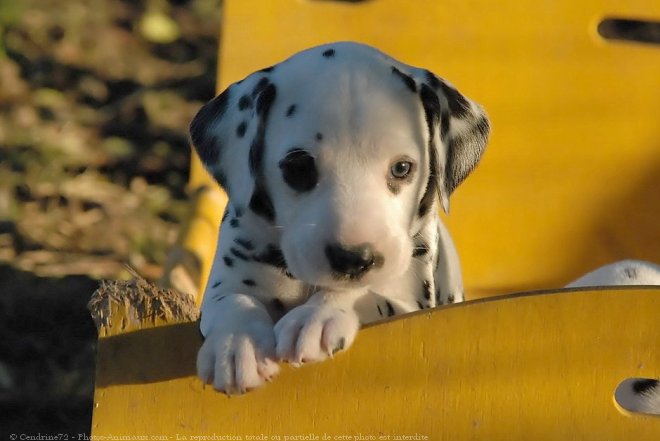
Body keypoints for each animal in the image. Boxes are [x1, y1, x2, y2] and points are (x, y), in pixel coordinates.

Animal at [188, 40, 488, 392]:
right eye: (298, 167)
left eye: (402, 168)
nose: (353, 259)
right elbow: (232, 300)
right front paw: (236, 343)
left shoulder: (411, 302)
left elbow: (370, 291)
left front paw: (319, 315)